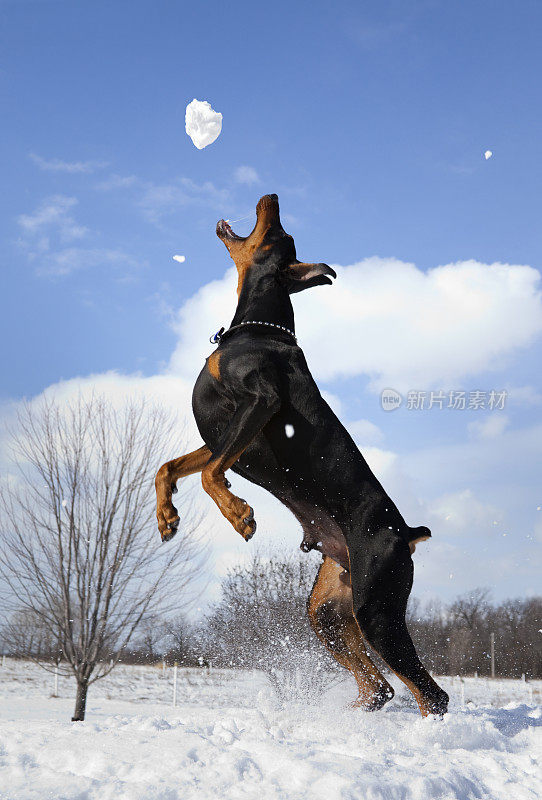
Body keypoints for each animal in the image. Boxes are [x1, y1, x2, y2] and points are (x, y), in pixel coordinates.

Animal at [156, 195, 450, 720]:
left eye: (281, 235)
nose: (270, 197)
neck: (255, 328)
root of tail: (407, 533)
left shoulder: (261, 402)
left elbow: (210, 474)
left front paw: (240, 515)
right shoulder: (224, 434)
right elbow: (171, 467)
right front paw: (166, 518)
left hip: (377, 608)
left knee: (430, 693)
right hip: (329, 608)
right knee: (379, 687)